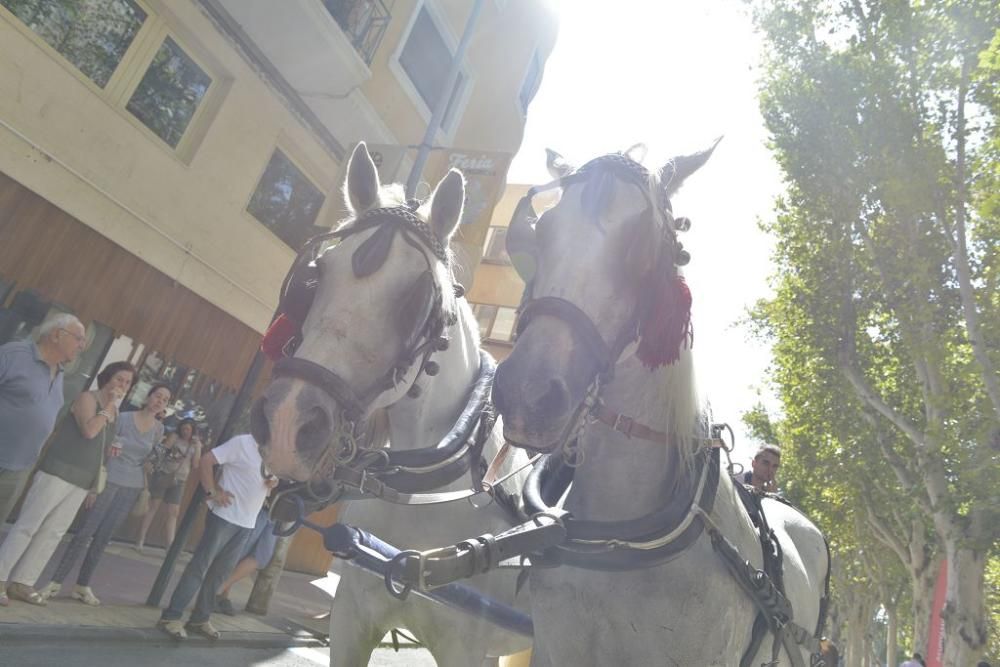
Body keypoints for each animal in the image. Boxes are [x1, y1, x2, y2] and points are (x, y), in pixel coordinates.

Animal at [252, 144, 532, 664]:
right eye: (315, 276)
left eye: (418, 296)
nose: (287, 421)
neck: (424, 495)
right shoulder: (350, 619)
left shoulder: (466, 647)